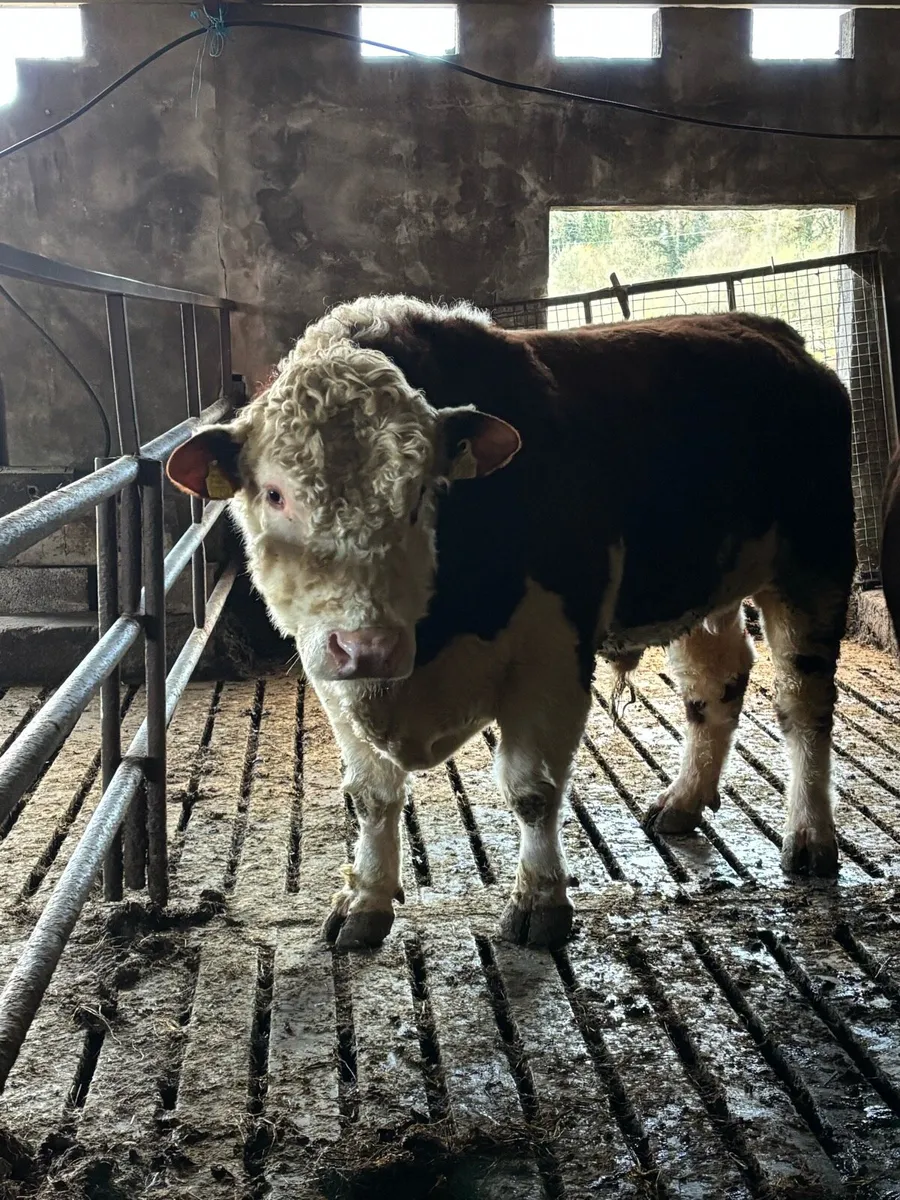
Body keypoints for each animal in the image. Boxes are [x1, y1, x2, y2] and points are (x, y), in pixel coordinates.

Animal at [166, 296, 855, 951]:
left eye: (424, 492)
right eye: (275, 494)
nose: (368, 646)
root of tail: (774, 335)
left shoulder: (553, 654)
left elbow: (532, 788)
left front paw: (539, 900)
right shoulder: (330, 675)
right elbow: (371, 793)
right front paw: (364, 900)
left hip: (815, 564)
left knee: (803, 705)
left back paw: (810, 837)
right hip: (704, 584)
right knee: (713, 684)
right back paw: (682, 801)